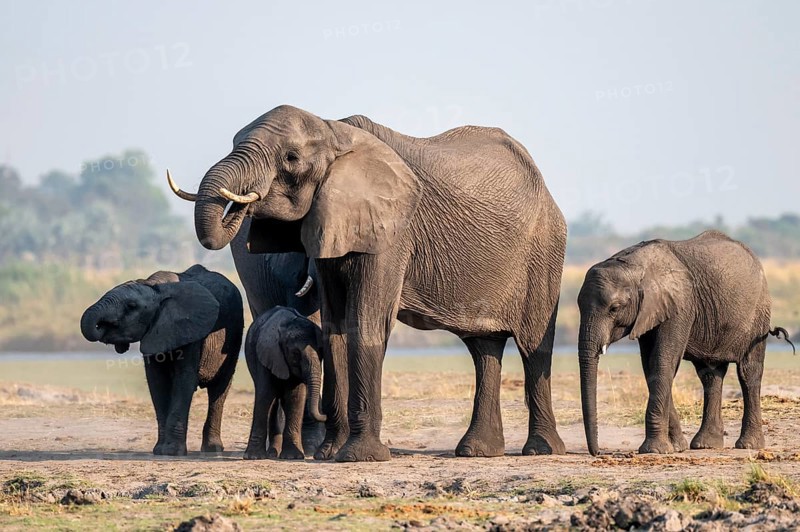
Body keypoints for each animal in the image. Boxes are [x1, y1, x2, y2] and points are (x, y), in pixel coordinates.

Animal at [80, 265, 243, 456]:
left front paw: (172, 452)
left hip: (234, 334)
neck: (155, 287)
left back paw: (212, 449)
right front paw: (159, 450)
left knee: (219, 389)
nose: (102, 326)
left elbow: (184, 380)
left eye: (131, 306)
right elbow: (157, 382)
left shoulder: (191, 331)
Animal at [243, 306, 325, 460]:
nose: (326, 416)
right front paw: (253, 457)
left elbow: (295, 397)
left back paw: (274, 453)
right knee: (273, 401)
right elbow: (265, 394)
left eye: (322, 352)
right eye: (295, 354)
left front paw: (292, 457)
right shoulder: (266, 355)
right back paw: (271, 454)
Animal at [577, 230, 794, 455]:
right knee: (710, 375)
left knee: (748, 372)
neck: (634, 266)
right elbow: (651, 366)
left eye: (614, 308)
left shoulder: (679, 306)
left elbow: (663, 361)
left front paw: (654, 450)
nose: (597, 452)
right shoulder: (651, 312)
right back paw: (706, 445)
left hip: (758, 313)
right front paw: (676, 447)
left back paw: (748, 445)